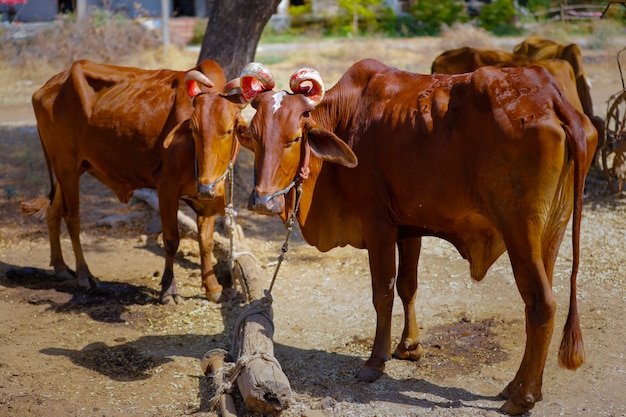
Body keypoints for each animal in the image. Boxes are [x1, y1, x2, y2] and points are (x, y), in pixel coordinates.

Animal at [20, 59, 244, 302]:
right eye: (193, 129)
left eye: (229, 130)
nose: (206, 185)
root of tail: (47, 87)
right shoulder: (167, 188)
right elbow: (171, 240)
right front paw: (169, 289)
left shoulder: (207, 197)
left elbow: (206, 240)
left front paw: (212, 287)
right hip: (66, 165)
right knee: (72, 218)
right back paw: (85, 276)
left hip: (69, 168)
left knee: (54, 211)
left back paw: (61, 268)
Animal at [228, 60, 596, 414]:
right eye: (255, 137)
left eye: (294, 138)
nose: (263, 201)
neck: (348, 116)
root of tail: (551, 96)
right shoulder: (409, 227)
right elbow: (408, 286)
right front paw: (409, 346)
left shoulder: (377, 223)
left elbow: (383, 293)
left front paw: (376, 362)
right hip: (551, 232)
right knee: (536, 308)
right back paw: (516, 386)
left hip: (520, 232)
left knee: (541, 305)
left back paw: (523, 396)